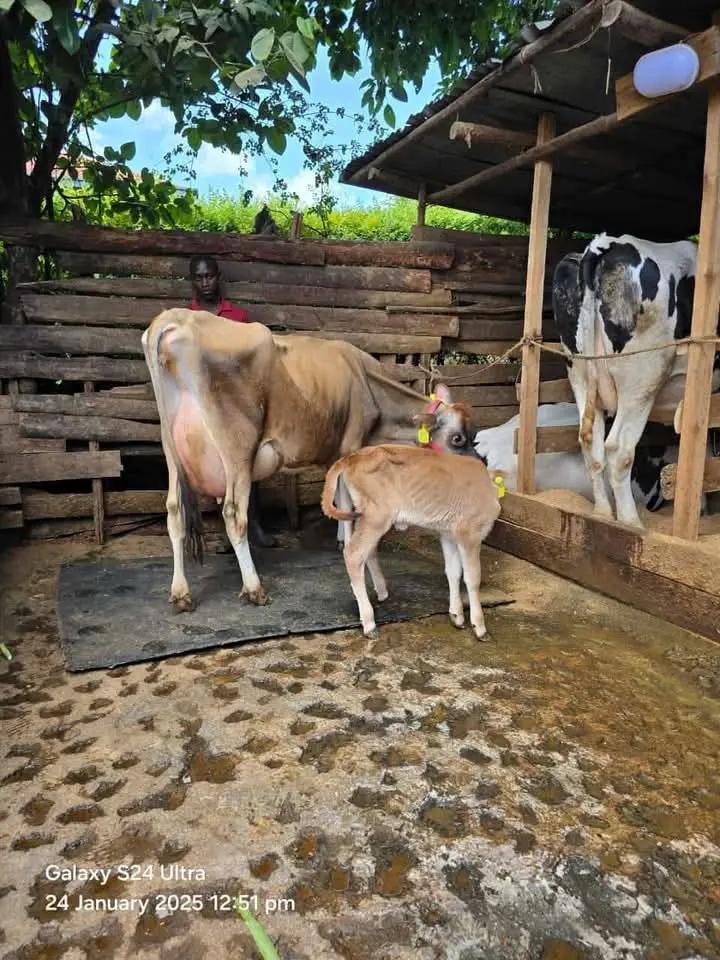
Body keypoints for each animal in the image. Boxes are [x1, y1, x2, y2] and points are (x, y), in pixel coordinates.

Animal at [142, 308, 478, 611]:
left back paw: (180, 593)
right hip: (237, 447)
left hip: (171, 449)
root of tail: (175, 318)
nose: (475, 471)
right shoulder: (351, 445)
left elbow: (338, 496)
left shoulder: (336, 454)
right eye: (457, 438)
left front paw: (341, 537)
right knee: (234, 514)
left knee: (174, 511)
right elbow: (347, 501)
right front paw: (349, 542)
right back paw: (254, 588)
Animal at [321, 445, 501, 640]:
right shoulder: (469, 532)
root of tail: (352, 457)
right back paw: (369, 623)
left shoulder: (448, 533)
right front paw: (479, 627)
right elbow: (473, 577)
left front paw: (456, 615)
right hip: (377, 516)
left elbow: (453, 572)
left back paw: (380, 592)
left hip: (353, 510)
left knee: (362, 550)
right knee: (354, 554)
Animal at [553, 233, 719, 528]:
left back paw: (603, 513)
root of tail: (607, 244)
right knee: (619, 449)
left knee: (591, 444)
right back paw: (631, 522)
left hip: (579, 374)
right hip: (642, 377)